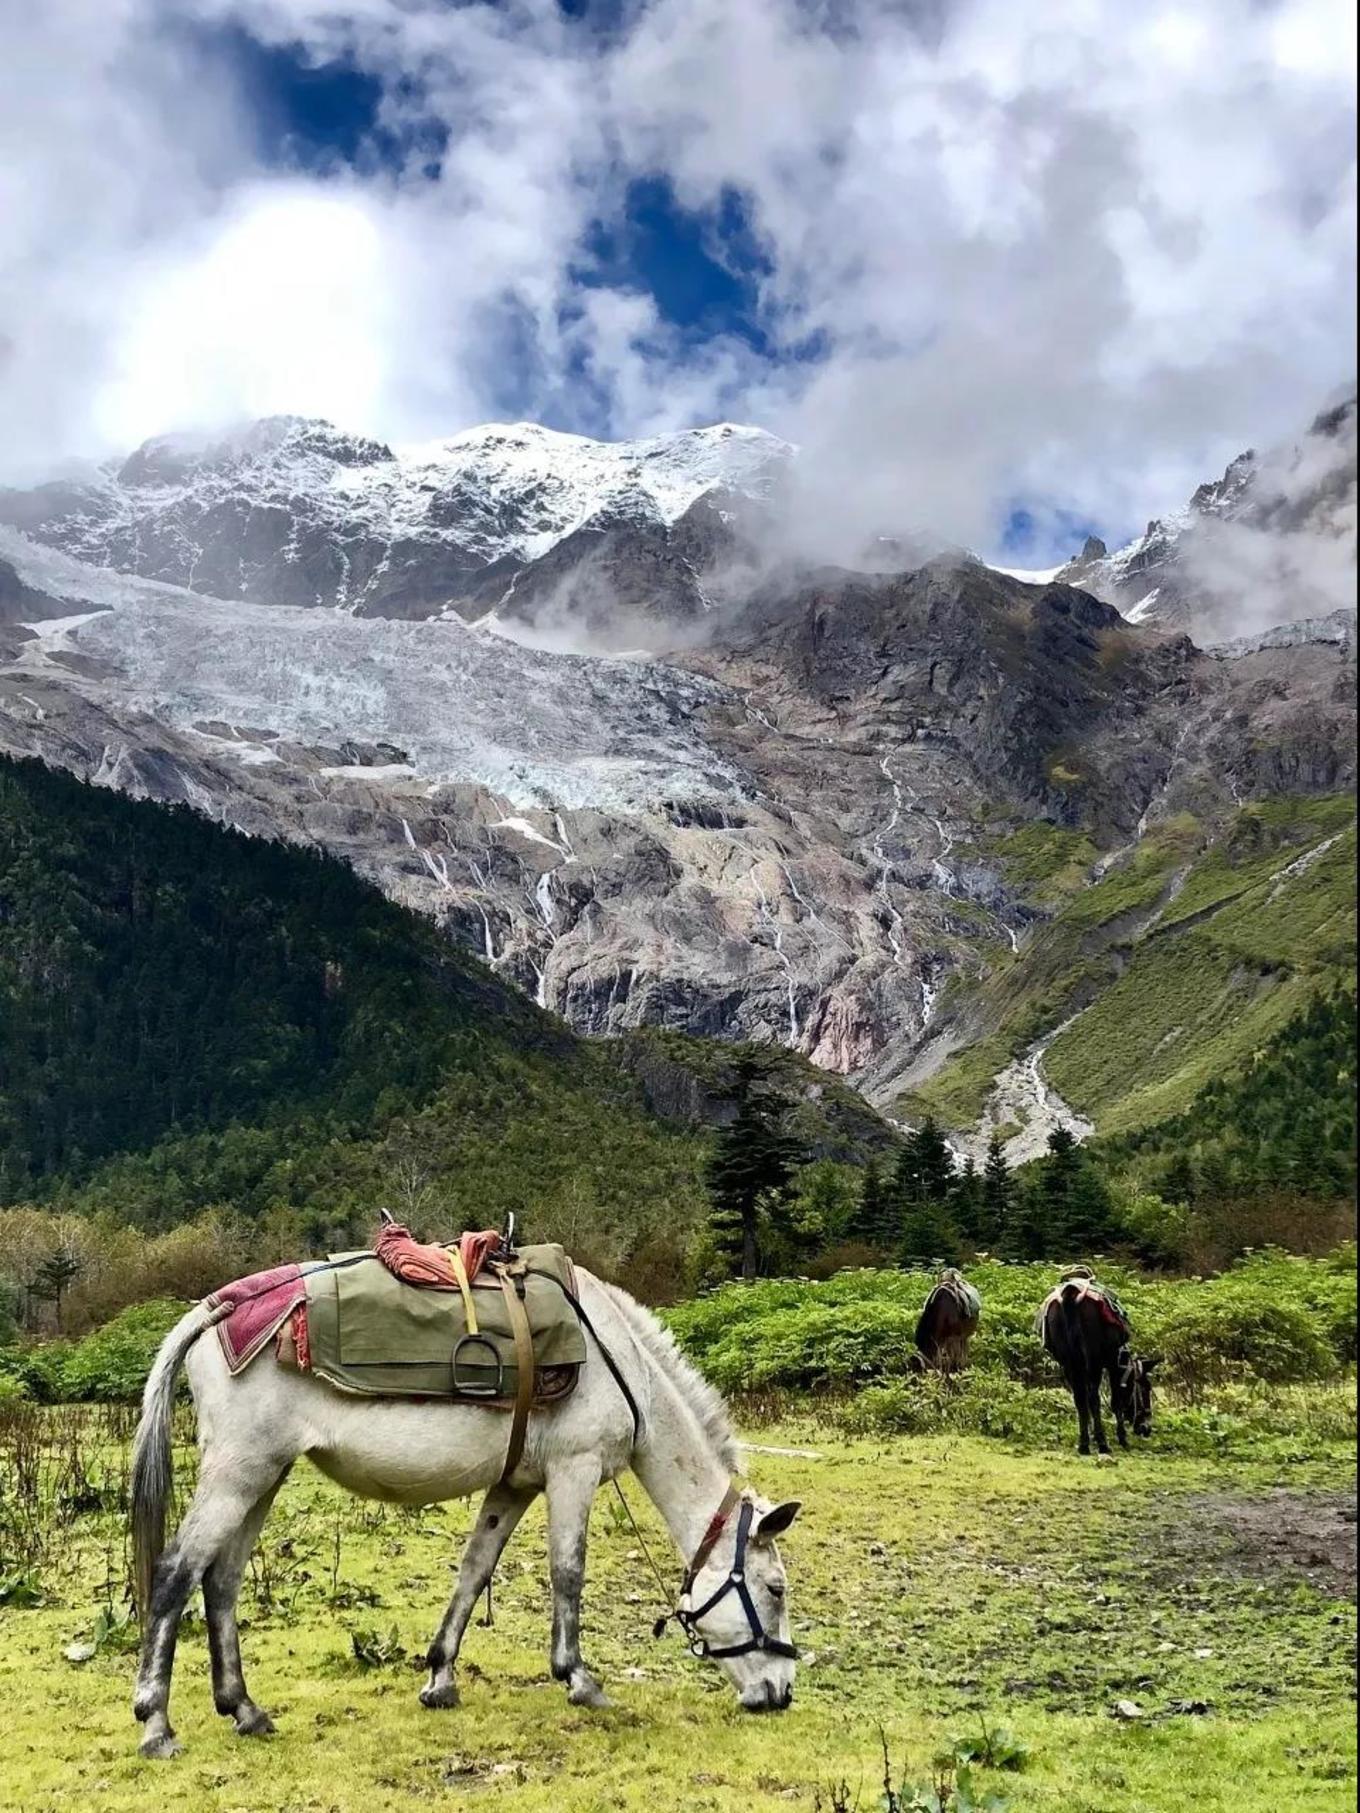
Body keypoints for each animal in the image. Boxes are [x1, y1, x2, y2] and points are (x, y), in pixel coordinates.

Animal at [130, 1276, 797, 1754]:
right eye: (775, 1589)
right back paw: (156, 1724)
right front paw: (578, 1679)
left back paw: (244, 1709)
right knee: (175, 1572)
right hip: (238, 1473)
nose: (782, 1693)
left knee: (221, 1580)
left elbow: (475, 1570)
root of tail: (216, 1310)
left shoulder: (514, 1486)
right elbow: (568, 1573)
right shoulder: (574, 1472)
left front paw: (440, 1679)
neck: (623, 1364)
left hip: (263, 1477)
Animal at [1044, 1276, 1160, 1457]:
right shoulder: (1112, 1364)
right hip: (1093, 1360)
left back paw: (1084, 1444)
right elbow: (1115, 1401)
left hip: (1070, 1362)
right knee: (1094, 1398)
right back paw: (1103, 1443)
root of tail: (1071, 1293)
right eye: (1145, 1388)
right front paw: (1122, 1438)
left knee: (1080, 1399)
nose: (1146, 1428)